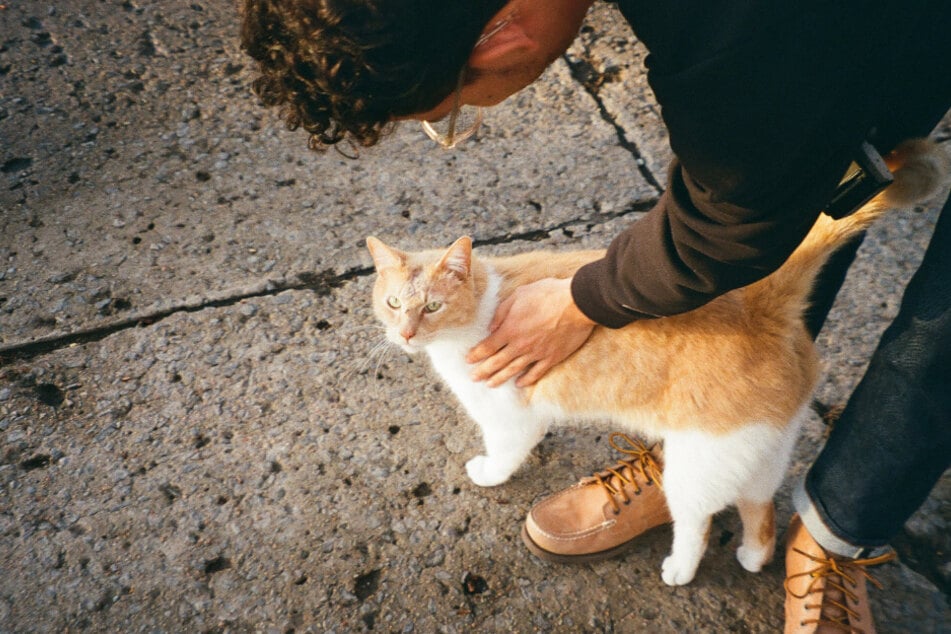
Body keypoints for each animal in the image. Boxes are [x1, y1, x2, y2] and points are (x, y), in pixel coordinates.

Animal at [362, 141, 944, 584]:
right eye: (392, 303)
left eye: (431, 307)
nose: (405, 334)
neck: (481, 307)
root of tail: (763, 304)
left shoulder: (511, 417)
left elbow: (505, 454)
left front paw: (487, 473)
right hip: (761, 450)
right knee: (760, 508)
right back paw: (754, 556)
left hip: (697, 461)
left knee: (699, 521)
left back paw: (680, 570)